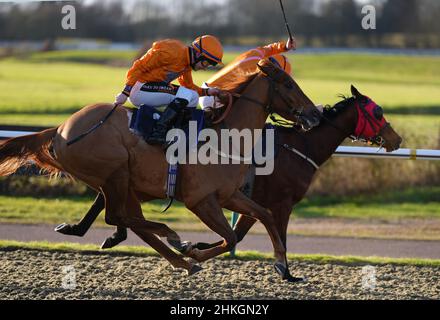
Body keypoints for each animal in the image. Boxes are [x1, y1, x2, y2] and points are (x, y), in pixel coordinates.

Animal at [0, 58, 322, 282]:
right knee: (118, 216)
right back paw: (174, 238)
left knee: (127, 220)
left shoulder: (229, 195)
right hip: (116, 172)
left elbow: (264, 215)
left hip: (123, 182)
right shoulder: (200, 201)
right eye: (289, 84)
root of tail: (60, 129)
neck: (224, 135)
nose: (315, 115)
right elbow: (230, 237)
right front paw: (194, 248)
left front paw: (282, 265)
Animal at [53, 85, 400, 278]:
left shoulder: (251, 199)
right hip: (127, 176)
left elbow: (239, 234)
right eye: (378, 112)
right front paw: (284, 269)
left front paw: (197, 247)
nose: (396, 138)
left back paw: (90, 231)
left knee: (116, 208)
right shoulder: (280, 201)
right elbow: (256, 235)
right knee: (118, 210)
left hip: (129, 179)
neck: (300, 145)